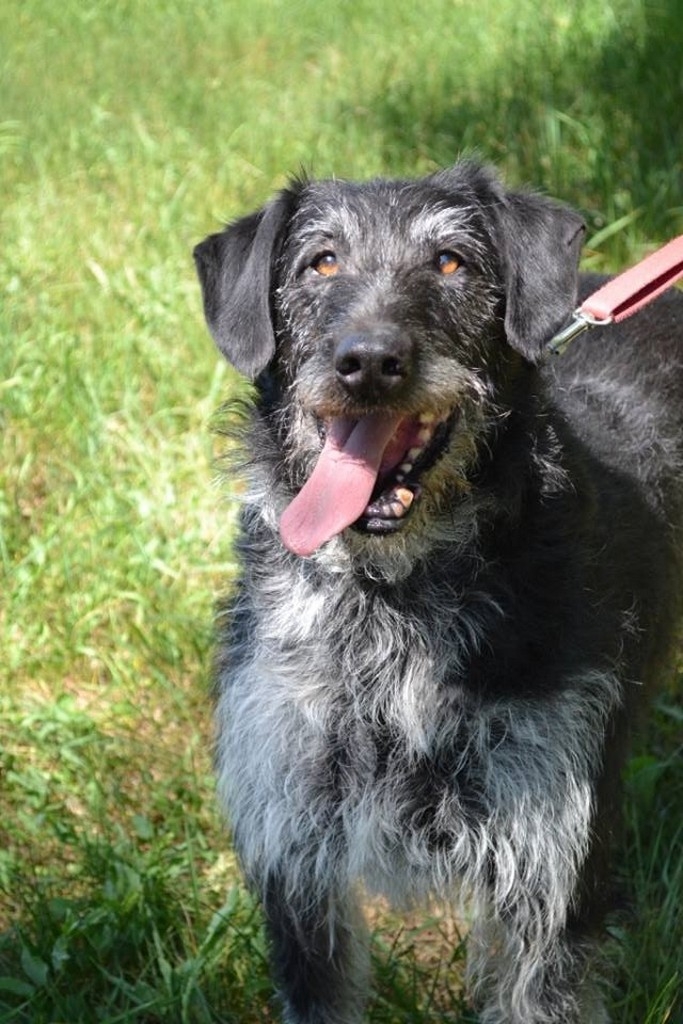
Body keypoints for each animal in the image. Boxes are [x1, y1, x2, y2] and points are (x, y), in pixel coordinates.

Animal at [193, 162, 683, 1024]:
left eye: (451, 262)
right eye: (319, 262)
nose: (368, 360)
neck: (389, 603)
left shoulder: (550, 884)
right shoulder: (298, 860)